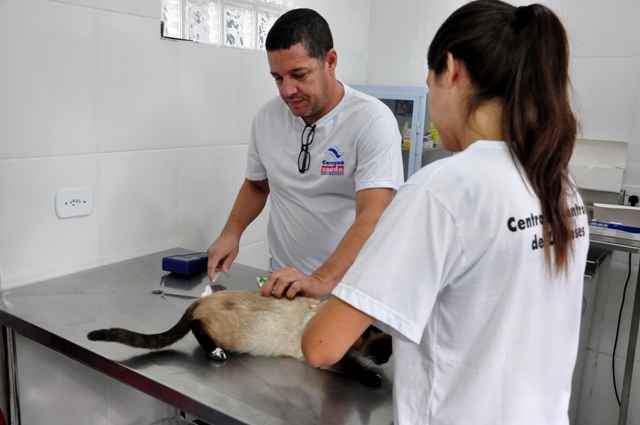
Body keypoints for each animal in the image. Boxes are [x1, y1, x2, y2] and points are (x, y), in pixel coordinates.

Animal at [87, 286, 392, 386]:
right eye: (383, 350)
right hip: (228, 332)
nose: (387, 360)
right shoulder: (326, 356)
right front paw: (374, 378)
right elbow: (354, 367)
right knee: (198, 327)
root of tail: (203, 300)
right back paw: (216, 353)